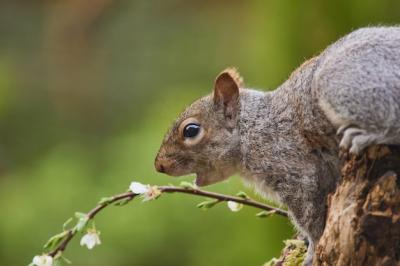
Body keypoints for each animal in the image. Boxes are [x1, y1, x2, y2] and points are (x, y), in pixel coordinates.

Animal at [153, 26, 400, 264]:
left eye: (191, 130)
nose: (159, 165)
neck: (253, 129)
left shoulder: (295, 170)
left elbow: (309, 217)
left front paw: (312, 249)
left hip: (343, 84)